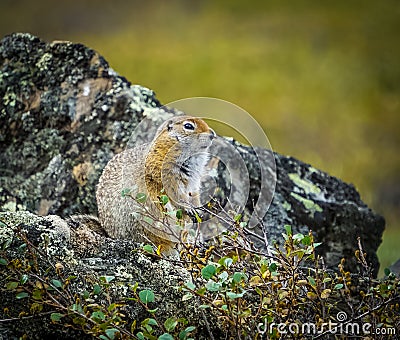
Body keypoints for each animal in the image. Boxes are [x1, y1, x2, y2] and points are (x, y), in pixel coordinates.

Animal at [96, 115, 216, 251]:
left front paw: (199, 211)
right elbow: (177, 194)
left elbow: (194, 196)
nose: (212, 134)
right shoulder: (165, 173)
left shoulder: (193, 182)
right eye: (188, 126)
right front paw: (189, 208)